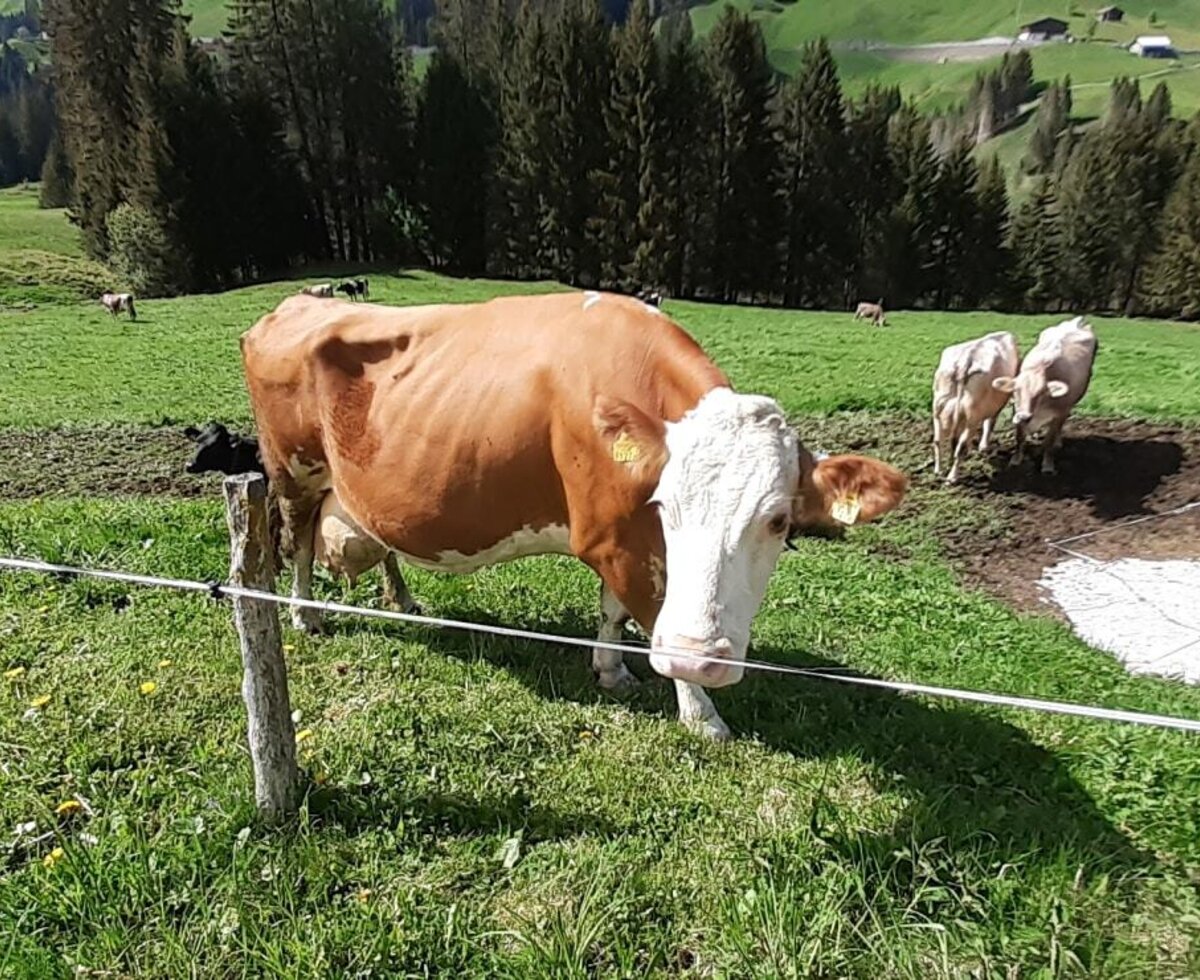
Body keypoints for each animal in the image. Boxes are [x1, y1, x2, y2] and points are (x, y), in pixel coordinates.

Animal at [241, 291, 908, 739]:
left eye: (776, 520)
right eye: (668, 505)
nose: (702, 654)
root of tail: (297, 303)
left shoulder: (625, 537)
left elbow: (615, 614)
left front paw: (612, 670)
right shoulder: (615, 543)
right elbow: (649, 615)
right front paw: (701, 712)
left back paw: (402, 600)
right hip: (293, 474)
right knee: (299, 544)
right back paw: (304, 614)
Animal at [932, 331, 1021, 483]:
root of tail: (964, 363)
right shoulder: (995, 407)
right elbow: (989, 423)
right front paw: (983, 446)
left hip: (938, 409)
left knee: (938, 441)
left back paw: (938, 470)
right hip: (972, 418)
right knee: (961, 447)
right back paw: (952, 477)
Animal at [992, 316, 1098, 475]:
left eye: (1041, 393)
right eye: (1016, 391)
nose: (1024, 417)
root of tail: (1075, 323)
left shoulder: (1059, 413)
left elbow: (1049, 441)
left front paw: (1047, 465)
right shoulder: (1017, 410)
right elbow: (1019, 437)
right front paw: (1016, 460)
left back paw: (1057, 442)